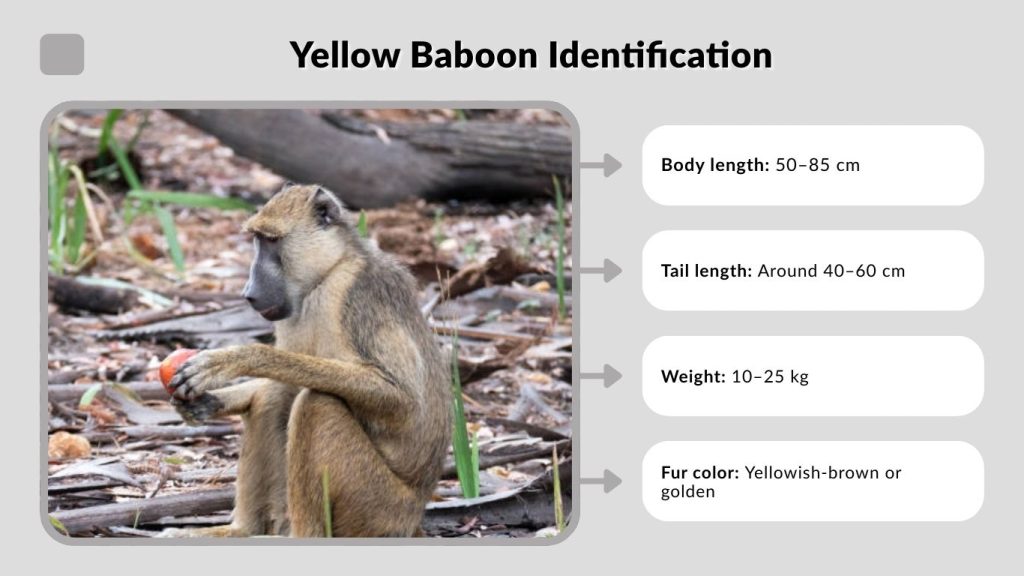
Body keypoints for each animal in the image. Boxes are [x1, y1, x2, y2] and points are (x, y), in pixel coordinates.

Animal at [162, 183, 451, 538]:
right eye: (257, 240)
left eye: (271, 241)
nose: (248, 292)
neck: (326, 275)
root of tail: (414, 518)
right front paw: (208, 402)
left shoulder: (356, 293)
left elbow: (403, 401)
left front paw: (235, 359)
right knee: (275, 396)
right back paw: (242, 530)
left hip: (379, 509)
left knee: (316, 403)